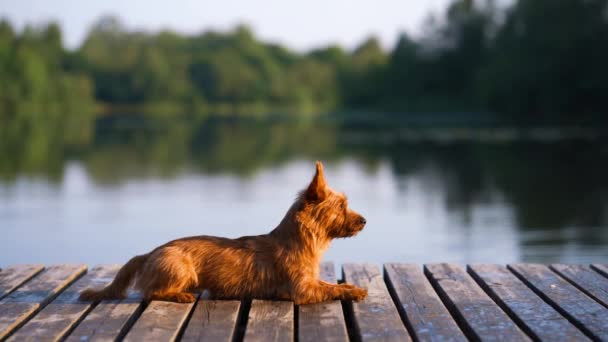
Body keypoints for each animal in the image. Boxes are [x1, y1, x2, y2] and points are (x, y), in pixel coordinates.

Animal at [79, 162, 368, 304]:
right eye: (341, 206)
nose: (365, 221)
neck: (300, 240)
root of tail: (148, 253)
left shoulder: (310, 282)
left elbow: (332, 284)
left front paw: (351, 286)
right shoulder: (303, 290)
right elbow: (330, 290)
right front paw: (353, 292)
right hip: (180, 266)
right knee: (151, 292)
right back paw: (179, 295)